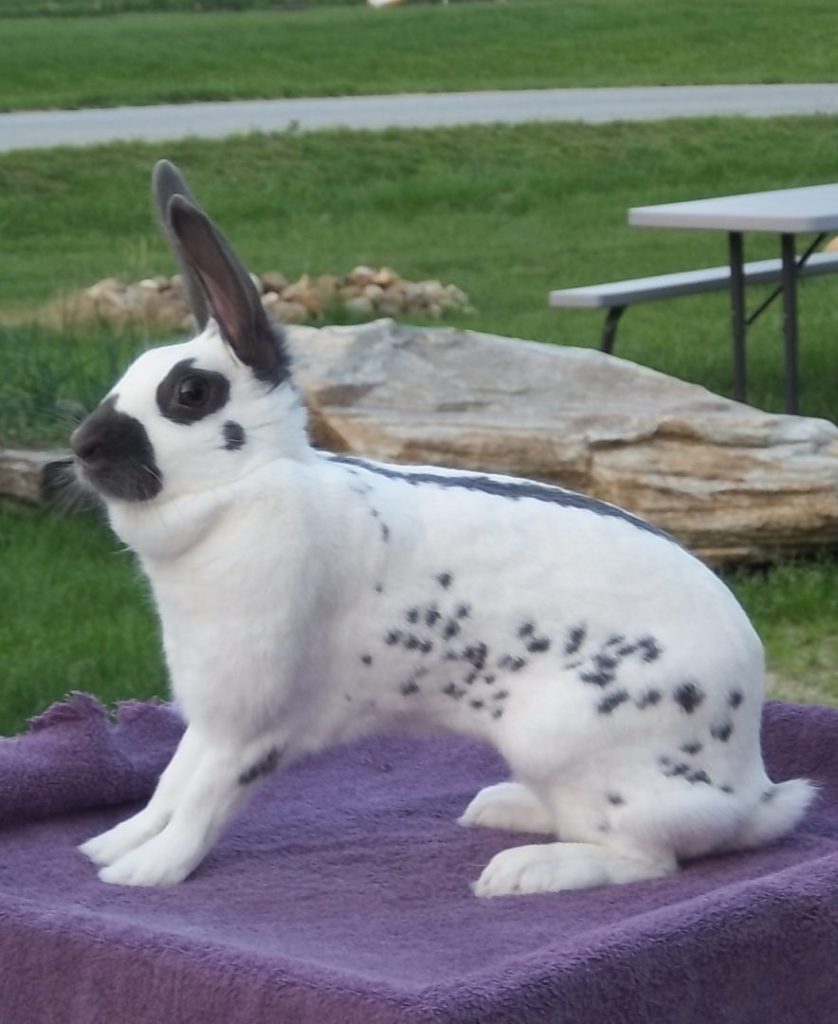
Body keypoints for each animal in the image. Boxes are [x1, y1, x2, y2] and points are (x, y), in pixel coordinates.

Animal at [73, 160, 813, 894]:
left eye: (189, 394)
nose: (82, 448)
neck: (245, 487)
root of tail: (748, 789)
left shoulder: (253, 726)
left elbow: (205, 799)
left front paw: (145, 873)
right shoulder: (209, 718)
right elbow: (170, 783)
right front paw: (108, 845)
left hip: (573, 746)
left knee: (649, 857)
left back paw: (522, 871)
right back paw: (501, 807)